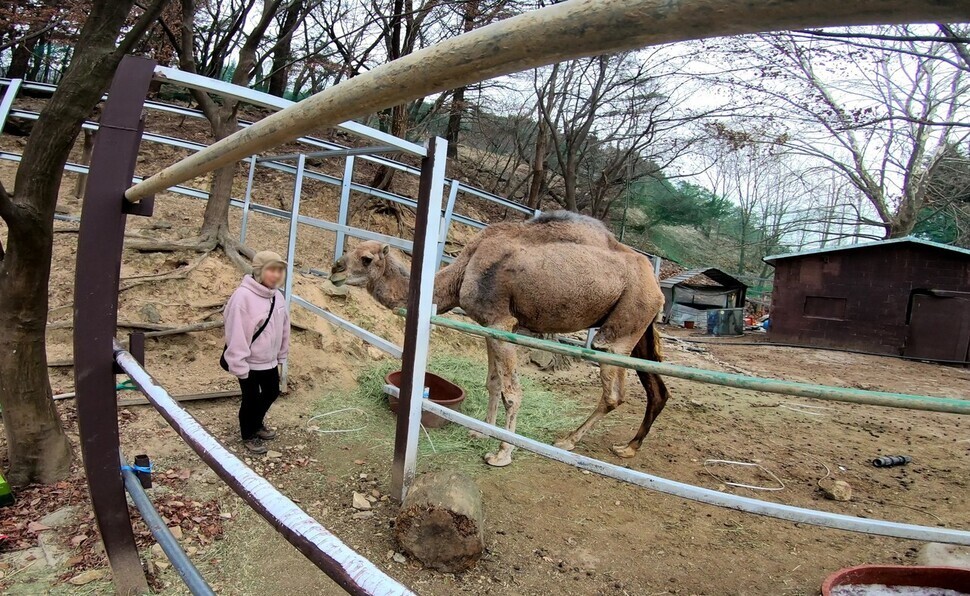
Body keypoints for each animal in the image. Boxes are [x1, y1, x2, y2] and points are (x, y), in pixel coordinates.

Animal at [328, 210, 668, 466]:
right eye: (350, 251)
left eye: (367, 258)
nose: (335, 269)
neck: (465, 267)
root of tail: (658, 288)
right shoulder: (487, 325)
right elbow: (493, 383)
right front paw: (479, 433)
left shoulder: (502, 322)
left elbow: (512, 392)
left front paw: (502, 453)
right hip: (639, 333)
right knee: (657, 390)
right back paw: (628, 447)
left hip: (618, 333)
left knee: (614, 393)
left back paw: (567, 441)